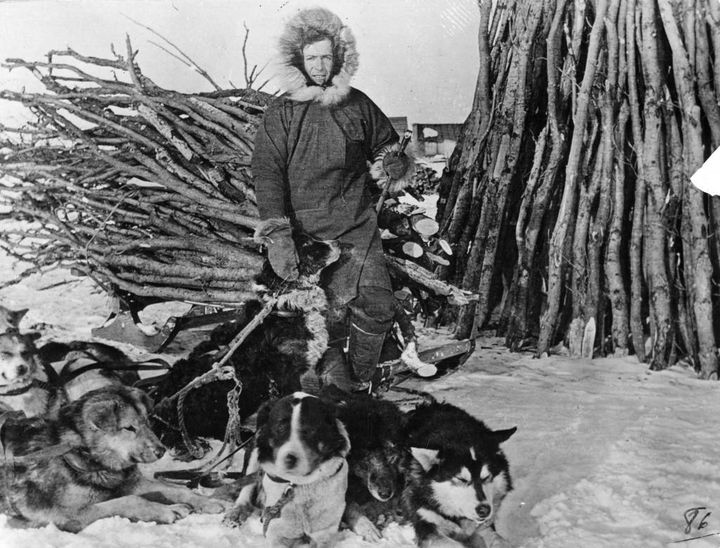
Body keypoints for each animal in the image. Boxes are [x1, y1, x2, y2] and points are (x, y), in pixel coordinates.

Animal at [224, 392, 350, 544]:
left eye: (310, 430)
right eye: (280, 428)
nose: (290, 459)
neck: (299, 484)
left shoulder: (324, 533)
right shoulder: (277, 532)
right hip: (254, 448)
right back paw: (237, 511)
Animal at [402, 400, 516, 544]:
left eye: (486, 477)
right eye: (462, 479)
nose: (484, 510)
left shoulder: (484, 526)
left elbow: (497, 539)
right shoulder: (427, 524)